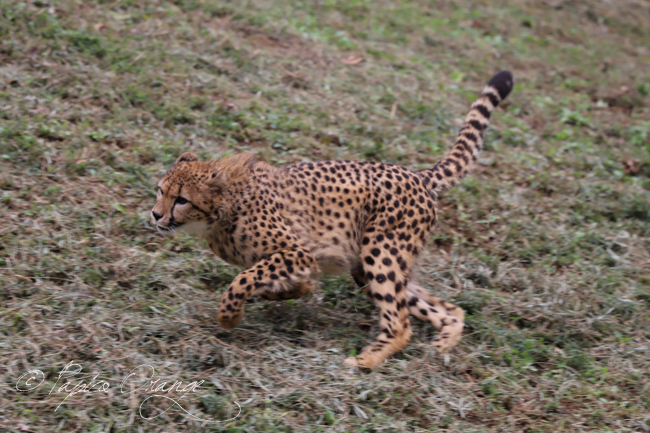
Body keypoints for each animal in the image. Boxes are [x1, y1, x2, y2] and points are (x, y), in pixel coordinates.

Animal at [151, 70, 512, 364]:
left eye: (181, 199)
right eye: (159, 190)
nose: (155, 215)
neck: (221, 210)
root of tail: (417, 174)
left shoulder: (297, 252)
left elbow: (243, 279)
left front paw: (229, 316)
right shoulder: (299, 261)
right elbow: (278, 283)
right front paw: (291, 290)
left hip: (381, 252)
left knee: (400, 322)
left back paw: (365, 361)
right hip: (367, 266)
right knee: (444, 308)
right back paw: (442, 343)